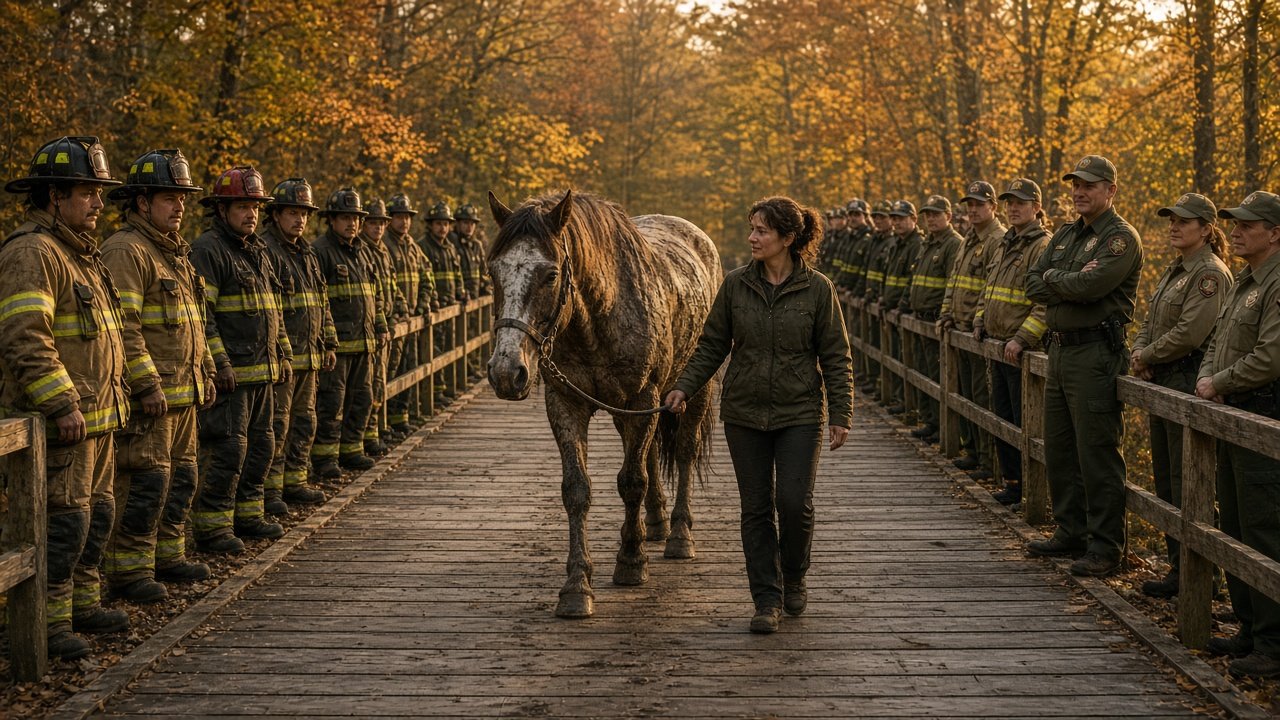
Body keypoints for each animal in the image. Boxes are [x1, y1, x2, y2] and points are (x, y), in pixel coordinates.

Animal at [486, 189, 720, 618]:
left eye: (551, 275)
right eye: (494, 272)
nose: (507, 372)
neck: (598, 316)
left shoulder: (643, 398)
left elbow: (631, 482)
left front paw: (631, 561)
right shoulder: (566, 405)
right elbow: (577, 490)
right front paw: (577, 586)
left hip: (695, 391)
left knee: (683, 451)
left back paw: (679, 535)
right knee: (648, 455)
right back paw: (655, 523)